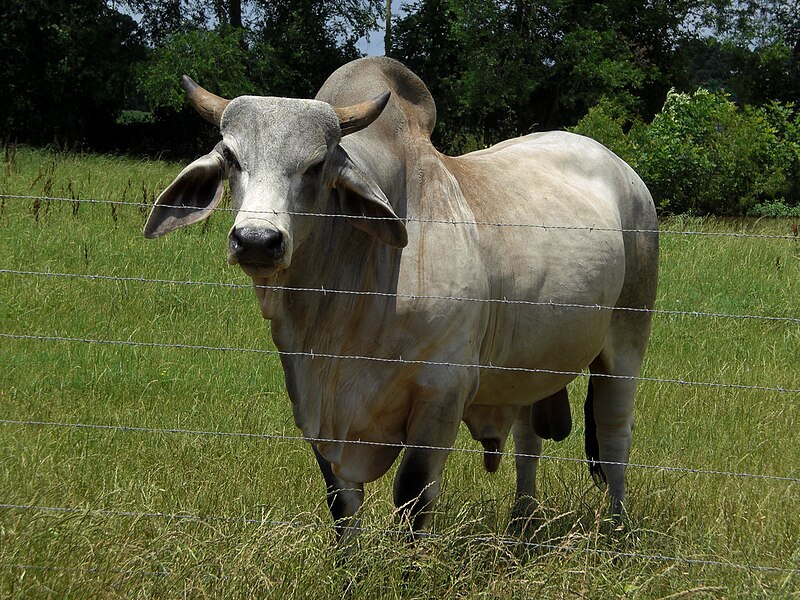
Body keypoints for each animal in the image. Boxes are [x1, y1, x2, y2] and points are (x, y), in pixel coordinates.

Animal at [144, 56, 656, 536]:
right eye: (232, 157)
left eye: (316, 165)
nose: (256, 240)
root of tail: (623, 171)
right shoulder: (316, 409)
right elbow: (341, 504)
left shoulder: (441, 395)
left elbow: (413, 498)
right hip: (530, 364)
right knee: (528, 440)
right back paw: (521, 525)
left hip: (628, 337)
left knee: (615, 436)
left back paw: (614, 531)